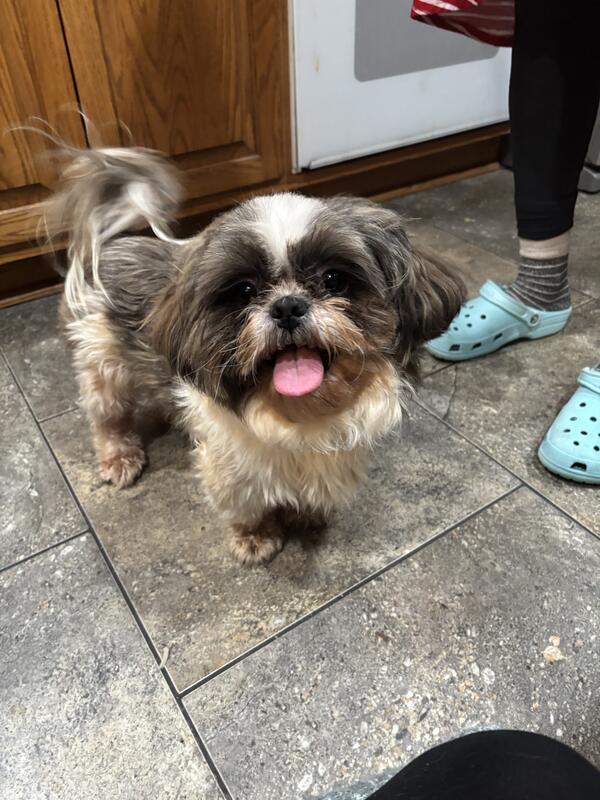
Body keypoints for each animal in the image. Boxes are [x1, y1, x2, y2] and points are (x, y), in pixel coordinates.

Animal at [47, 146, 464, 564]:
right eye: (245, 290)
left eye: (334, 279)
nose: (287, 306)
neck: (301, 415)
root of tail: (114, 243)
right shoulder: (230, 468)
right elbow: (247, 507)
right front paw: (257, 538)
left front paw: (309, 518)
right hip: (102, 363)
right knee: (107, 416)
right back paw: (119, 457)